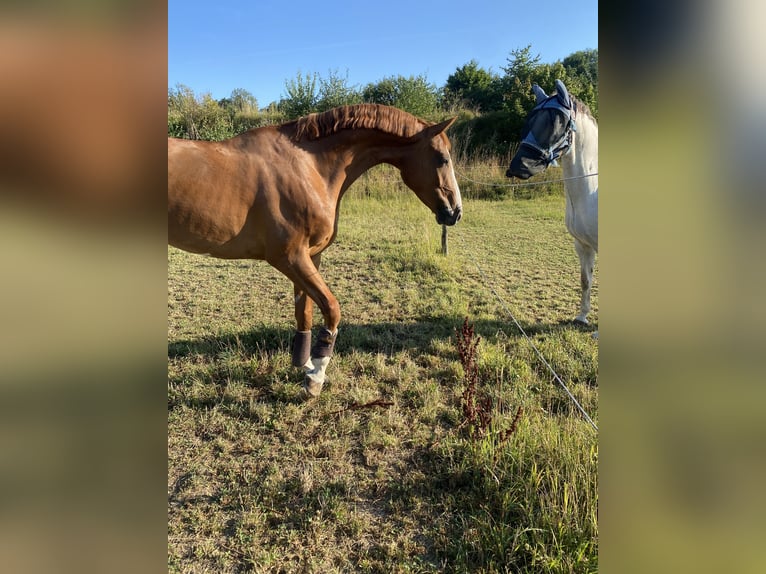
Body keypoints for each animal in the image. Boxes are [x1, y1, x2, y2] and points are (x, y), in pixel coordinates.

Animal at [169, 104, 464, 396]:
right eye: (442, 159)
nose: (455, 212)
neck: (308, 168)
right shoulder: (289, 258)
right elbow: (332, 309)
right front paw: (316, 376)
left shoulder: (310, 257)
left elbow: (305, 314)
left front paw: (304, 364)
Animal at [510, 79, 600, 326]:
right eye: (530, 120)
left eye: (556, 122)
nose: (517, 167)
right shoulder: (582, 245)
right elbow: (585, 280)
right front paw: (582, 317)